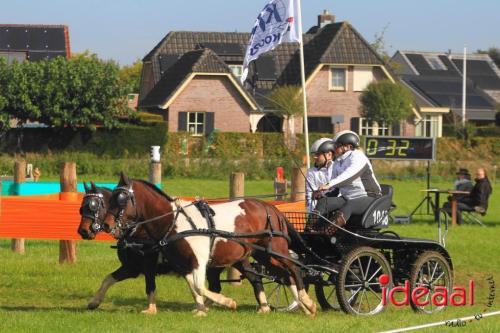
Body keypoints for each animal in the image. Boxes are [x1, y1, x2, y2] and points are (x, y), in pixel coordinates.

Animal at [102, 172, 316, 316]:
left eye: (121, 199)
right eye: (110, 198)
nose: (106, 225)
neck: (173, 222)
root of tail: (272, 209)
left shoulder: (199, 261)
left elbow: (199, 286)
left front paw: (227, 302)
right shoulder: (182, 264)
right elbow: (195, 286)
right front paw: (202, 309)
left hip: (276, 250)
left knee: (294, 269)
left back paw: (307, 302)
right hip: (263, 254)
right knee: (283, 275)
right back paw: (295, 306)